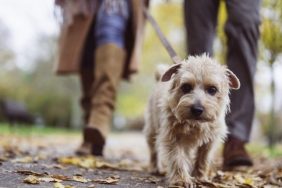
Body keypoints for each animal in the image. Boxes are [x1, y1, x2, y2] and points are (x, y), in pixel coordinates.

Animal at [145, 54, 240, 187]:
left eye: (212, 89)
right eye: (186, 87)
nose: (197, 109)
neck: (194, 124)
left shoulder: (210, 141)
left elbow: (203, 159)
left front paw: (200, 177)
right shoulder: (172, 136)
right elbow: (177, 158)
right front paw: (181, 179)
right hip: (152, 128)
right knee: (153, 150)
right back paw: (155, 167)